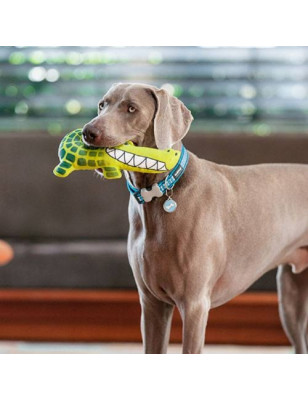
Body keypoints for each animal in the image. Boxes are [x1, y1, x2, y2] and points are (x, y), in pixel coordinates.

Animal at [82, 82, 308, 354]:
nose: (88, 132)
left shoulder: (194, 304)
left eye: (131, 108)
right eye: (102, 104)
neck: (158, 195)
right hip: (291, 298)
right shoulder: (152, 304)